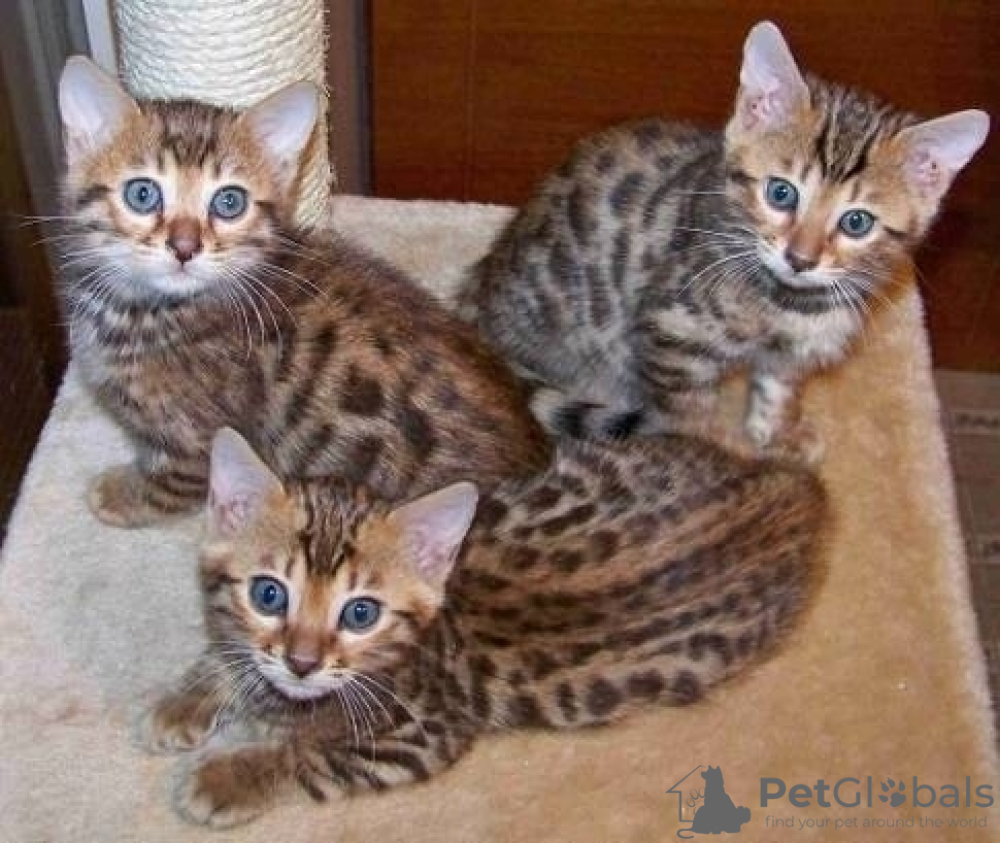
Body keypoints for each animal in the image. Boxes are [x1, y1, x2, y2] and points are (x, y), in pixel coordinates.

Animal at [56, 57, 550, 527]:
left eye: (229, 203)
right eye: (142, 194)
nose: (184, 247)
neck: (142, 308)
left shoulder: (198, 438)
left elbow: (171, 484)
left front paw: (122, 495)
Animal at [136, 427, 826, 827]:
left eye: (361, 613)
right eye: (269, 593)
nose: (302, 662)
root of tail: (797, 493)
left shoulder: (426, 735)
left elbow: (315, 758)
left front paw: (231, 777)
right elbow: (233, 655)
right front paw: (190, 696)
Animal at [462, 21, 989, 458]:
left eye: (856, 223)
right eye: (781, 192)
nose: (800, 258)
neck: (787, 301)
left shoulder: (793, 349)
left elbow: (778, 388)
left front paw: (775, 434)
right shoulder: (672, 329)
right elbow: (686, 410)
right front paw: (707, 453)